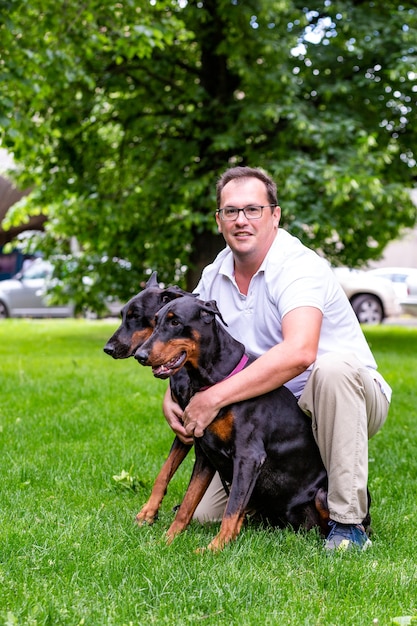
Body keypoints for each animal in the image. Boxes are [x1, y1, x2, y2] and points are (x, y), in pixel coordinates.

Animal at [136, 294, 344, 548]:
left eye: (175, 322)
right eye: (156, 321)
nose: (140, 355)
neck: (214, 379)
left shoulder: (248, 456)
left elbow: (232, 508)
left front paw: (214, 548)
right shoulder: (205, 454)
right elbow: (187, 502)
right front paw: (167, 540)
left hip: (323, 494)